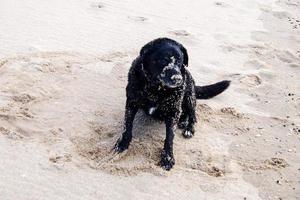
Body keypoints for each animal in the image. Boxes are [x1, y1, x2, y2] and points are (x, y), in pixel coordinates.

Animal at [114, 38, 230, 170]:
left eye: (180, 61)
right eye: (163, 60)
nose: (178, 79)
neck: (156, 89)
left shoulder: (173, 111)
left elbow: (169, 137)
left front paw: (168, 158)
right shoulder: (131, 103)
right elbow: (127, 126)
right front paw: (122, 144)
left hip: (189, 95)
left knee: (193, 115)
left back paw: (188, 128)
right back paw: (183, 121)